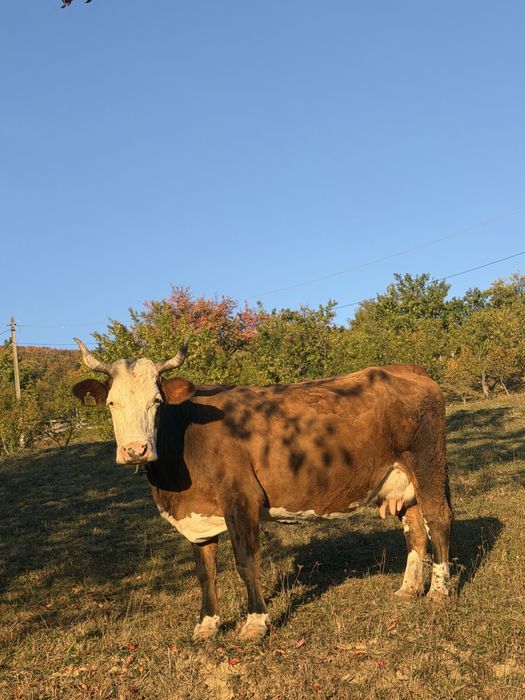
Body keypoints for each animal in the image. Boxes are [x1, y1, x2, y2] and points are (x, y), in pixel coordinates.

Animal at [72, 338, 453, 642]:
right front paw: (207, 624)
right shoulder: (197, 515)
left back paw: (439, 591)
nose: (135, 450)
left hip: (427, 462)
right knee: (415, 530)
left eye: (157, 401)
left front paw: (255, 622)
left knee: (438, 520)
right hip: (401, 477)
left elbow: (245, 561)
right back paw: (409, 589)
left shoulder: (241, 499)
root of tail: (406, 369)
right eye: (111, 403)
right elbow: (205, 571)